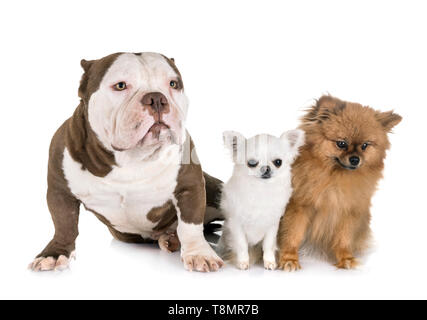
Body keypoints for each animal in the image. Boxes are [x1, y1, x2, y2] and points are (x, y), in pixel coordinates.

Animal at [219, 130, 306, 270]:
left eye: (278, 162)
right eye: (252, 163)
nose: (266, 168)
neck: (261, 190)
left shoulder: (272, 225)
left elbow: (268, 245)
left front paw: (269, 262)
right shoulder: (236, 224)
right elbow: (242, 245)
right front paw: (243, 262)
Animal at [280, 95, 402, 270]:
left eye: (365, 145)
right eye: (341, 144)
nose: (355, 159)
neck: (335, 179)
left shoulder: (348, 210)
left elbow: (344, 238)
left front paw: (346, 258)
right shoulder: (299, 207)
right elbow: (292, 234)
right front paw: (289, 258)